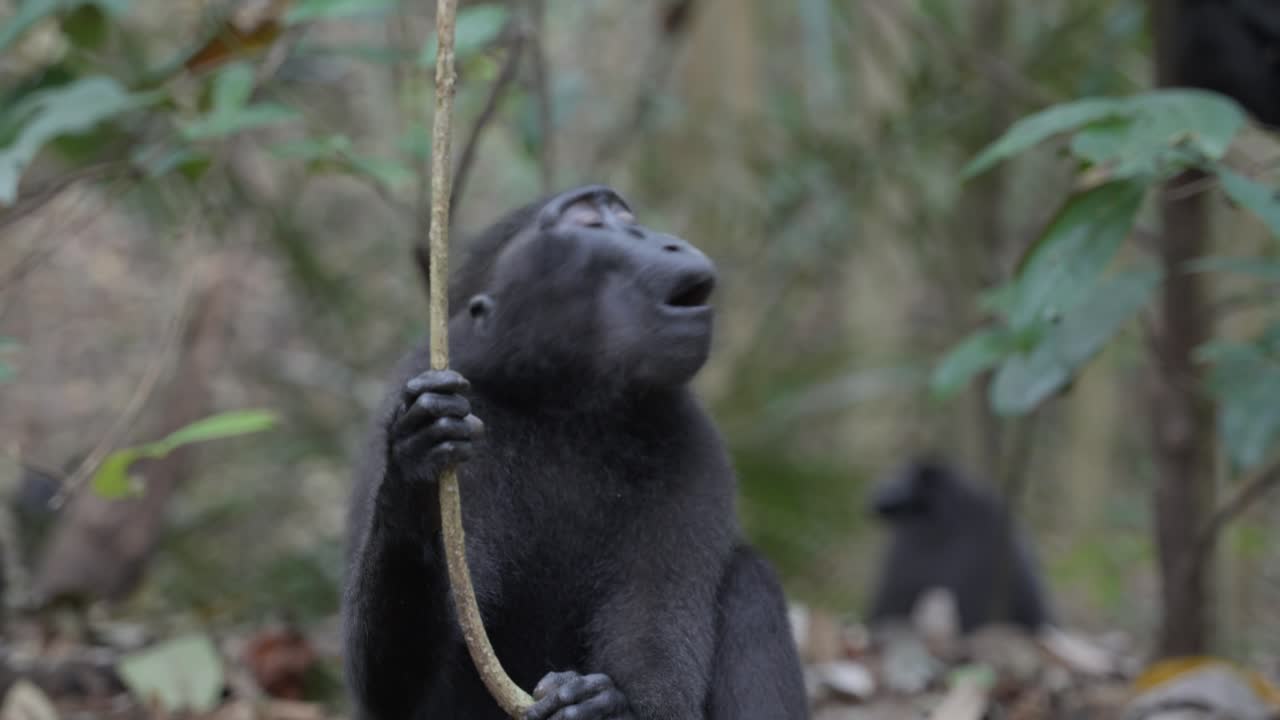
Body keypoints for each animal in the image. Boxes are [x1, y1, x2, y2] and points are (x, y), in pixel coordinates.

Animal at [342, 185, 809, 720]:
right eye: (589, 222)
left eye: (627, 219)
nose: (669, 242)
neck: (565, 405)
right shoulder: (421, 387)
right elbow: (396, 693)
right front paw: (417, 476)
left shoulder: (693, 445)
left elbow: (662, 677)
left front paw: (604, 708)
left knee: (750, 582)